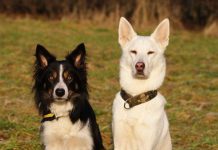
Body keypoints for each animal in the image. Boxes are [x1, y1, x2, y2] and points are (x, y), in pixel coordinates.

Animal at [112, 17, 172, 150]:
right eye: (133, 51)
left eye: (150, 52)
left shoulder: (146, 143)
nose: (139, 66)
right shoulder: (119, 141)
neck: (136, 96)